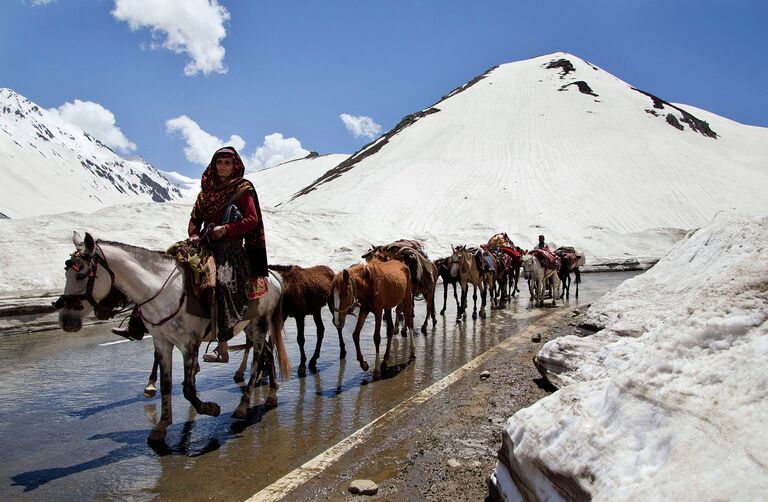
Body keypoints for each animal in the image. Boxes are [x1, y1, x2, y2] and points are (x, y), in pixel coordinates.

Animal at [56, 231, 292, 444]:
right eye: (67, 273)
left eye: (81, 274)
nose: (66, 320)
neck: (162, 292)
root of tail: (274, 277)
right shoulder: (162, 342)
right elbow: (166, 384)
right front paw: (161, 426)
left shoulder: (189, 344)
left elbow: (188, 388)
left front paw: (211, 408)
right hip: (248, 326)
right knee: (267, 353)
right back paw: (271, 395)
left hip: (260, 323)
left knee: (258, 359)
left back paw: (243, 406)